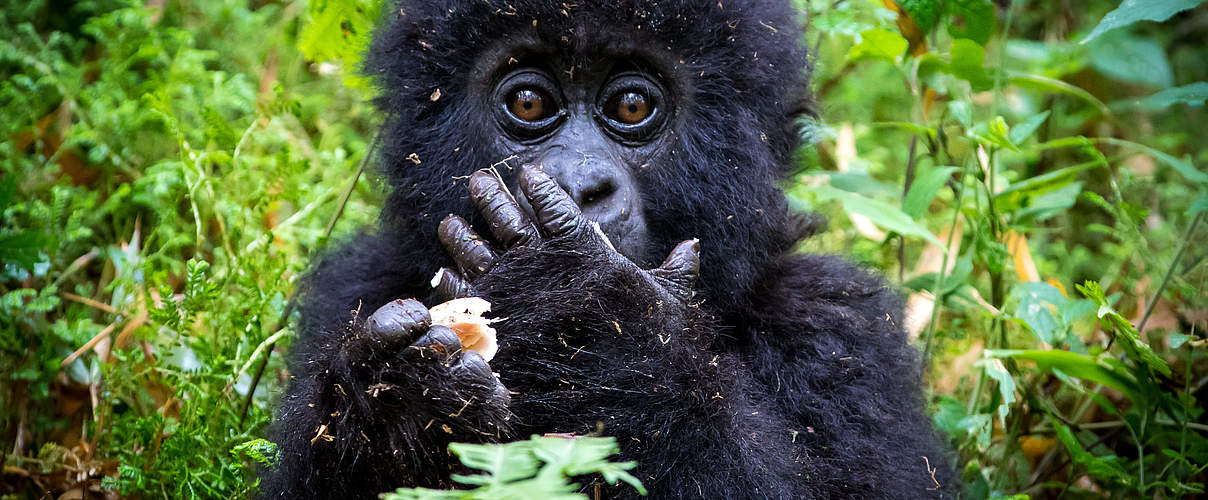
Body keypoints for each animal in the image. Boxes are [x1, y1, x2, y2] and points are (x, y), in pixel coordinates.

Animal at [262, 0, 951, 497]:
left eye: (632, 104)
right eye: (529, 101)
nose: (578, 184)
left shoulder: (840, 326)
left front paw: (580, 309)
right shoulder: (351, 287)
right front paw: (396, 406)